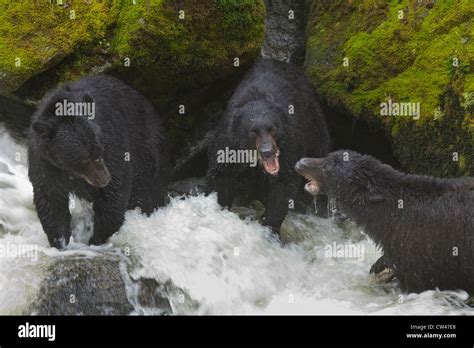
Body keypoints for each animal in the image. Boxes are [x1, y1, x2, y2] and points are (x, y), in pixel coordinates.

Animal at [26, 76, 169, 249]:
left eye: (99, 150)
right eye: (84, 159)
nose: (104, 179)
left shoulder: (111, 138)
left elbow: (115, 192)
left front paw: (95, 239)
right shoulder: (44, 160)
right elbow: (50, 198)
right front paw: (60, 242)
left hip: (147, 150)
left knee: (147, 191)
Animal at [207, 58, 330, 237]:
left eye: (272, 129)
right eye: (253, 132)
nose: (268, 152)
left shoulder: (289, 141)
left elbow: (284, 183)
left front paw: (269, 227)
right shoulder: (228, 140)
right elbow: (221, 173)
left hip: (313, 122)